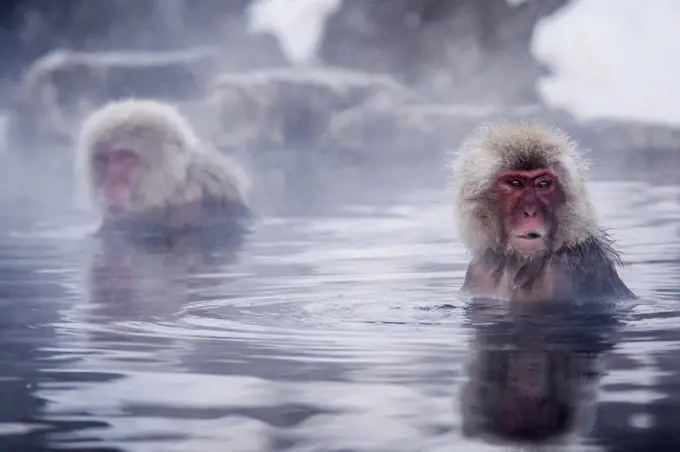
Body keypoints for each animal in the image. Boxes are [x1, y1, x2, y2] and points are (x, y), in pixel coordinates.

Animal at [448, 122, 636, 302]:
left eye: (543, 184)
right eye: (516, 183)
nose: (530, 212)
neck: (515, 263)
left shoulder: (567, 268)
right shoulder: (477, 270)